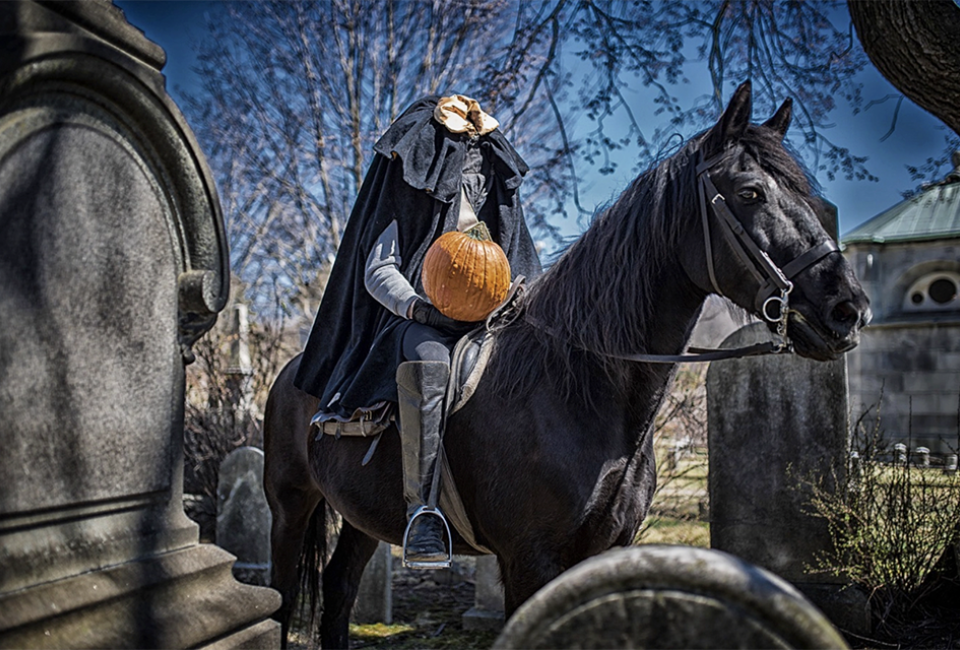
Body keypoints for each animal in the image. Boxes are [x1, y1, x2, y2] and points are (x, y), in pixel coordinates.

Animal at [260, 82, 872, 648]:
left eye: (809, 198)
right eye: (750, 191)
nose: (849, 309)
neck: (580, 385)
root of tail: (296, 371)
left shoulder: (599, 553)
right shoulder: (529, 561)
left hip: (362, 517)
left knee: (339, 589)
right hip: (290, 506)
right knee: (284, 598)